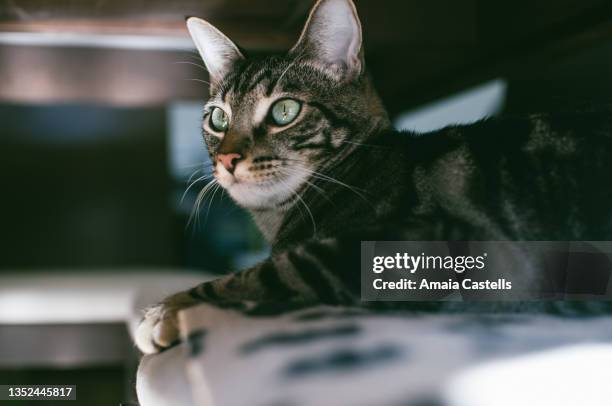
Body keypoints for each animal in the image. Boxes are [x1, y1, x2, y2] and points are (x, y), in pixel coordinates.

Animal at [135, 0, 612, 352]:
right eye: (218, 118)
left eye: (284, 110)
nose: (229, 158)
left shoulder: (396, 247)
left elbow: (264, 272)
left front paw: (164, 311)